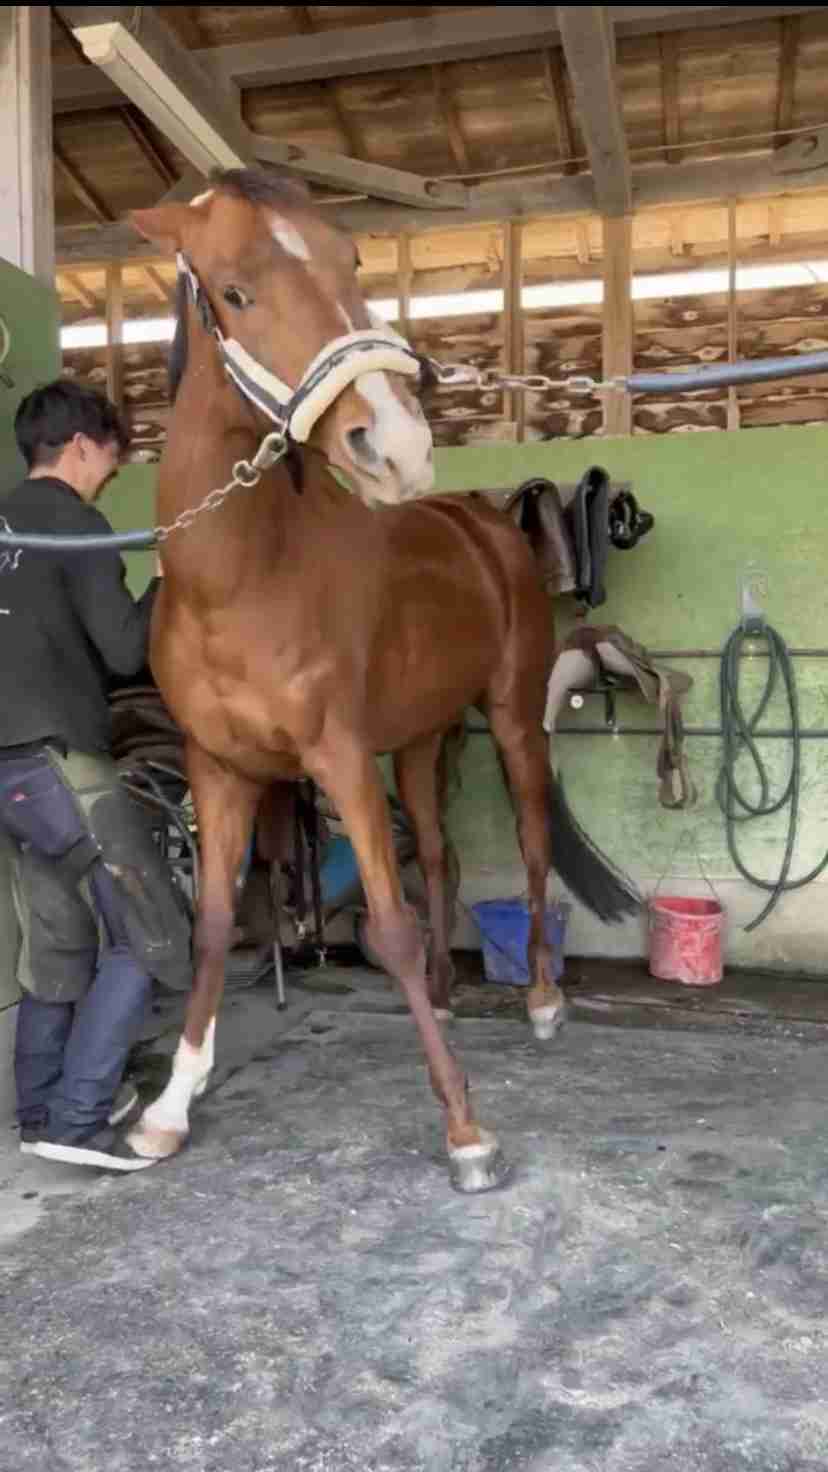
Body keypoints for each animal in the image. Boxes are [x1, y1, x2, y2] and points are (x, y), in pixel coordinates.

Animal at [125, 168, 638, 1192]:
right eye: (234, 291)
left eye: (351, 263)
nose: (398, 446)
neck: (239, 578)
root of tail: (483, 522)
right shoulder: (218, 769)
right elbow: (213, 923)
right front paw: (168, 1107)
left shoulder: (339, 761)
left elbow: (390, 924)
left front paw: (466, 1132)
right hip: (420, 741)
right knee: (438, 853)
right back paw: (440, 991)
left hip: (508, 722)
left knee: (527, 847)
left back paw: (543, 1000)